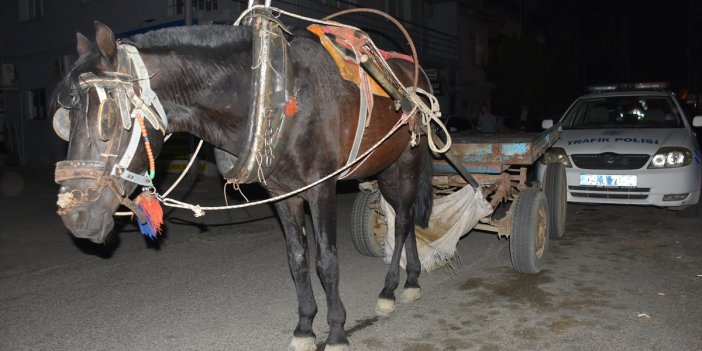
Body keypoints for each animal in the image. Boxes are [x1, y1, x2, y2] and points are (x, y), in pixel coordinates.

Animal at [52, 20, 434, 350]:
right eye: (64, 122)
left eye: (107, 120)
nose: (75, 217)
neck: (275, 93)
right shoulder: (283, 193)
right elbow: (297, 258)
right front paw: (305, 326)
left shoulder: (321, 187)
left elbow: (326, 260)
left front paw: (337, 330)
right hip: (384, 167)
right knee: (403, 217)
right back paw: (412, 278)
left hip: (407, 163)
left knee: (402, 220)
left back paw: (394, 288)